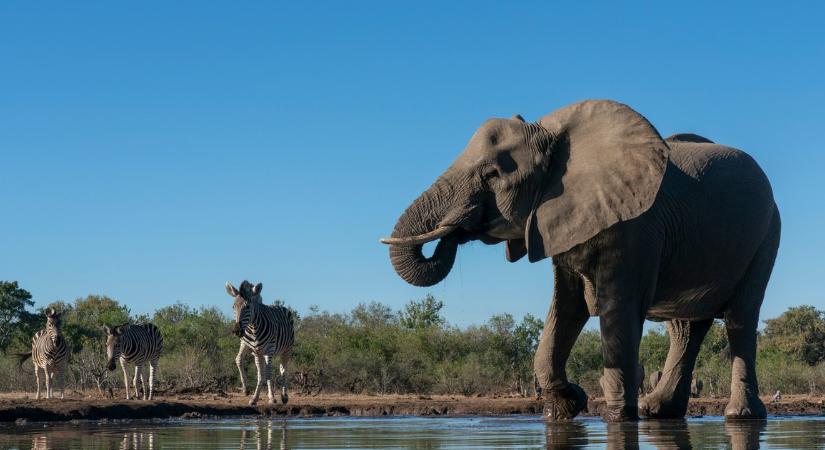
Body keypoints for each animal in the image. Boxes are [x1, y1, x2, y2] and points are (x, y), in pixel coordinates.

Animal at [380, 99, 780, 422]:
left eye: (492, 175)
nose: (454, 232)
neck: (554, 139)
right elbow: (567, 308)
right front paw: (567, 406)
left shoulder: (637, 228)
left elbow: (616, 312)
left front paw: (617, 418)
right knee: (686, 327)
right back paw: (658, 411)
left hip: (767, 236)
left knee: (740, 318)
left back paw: (740, 416)